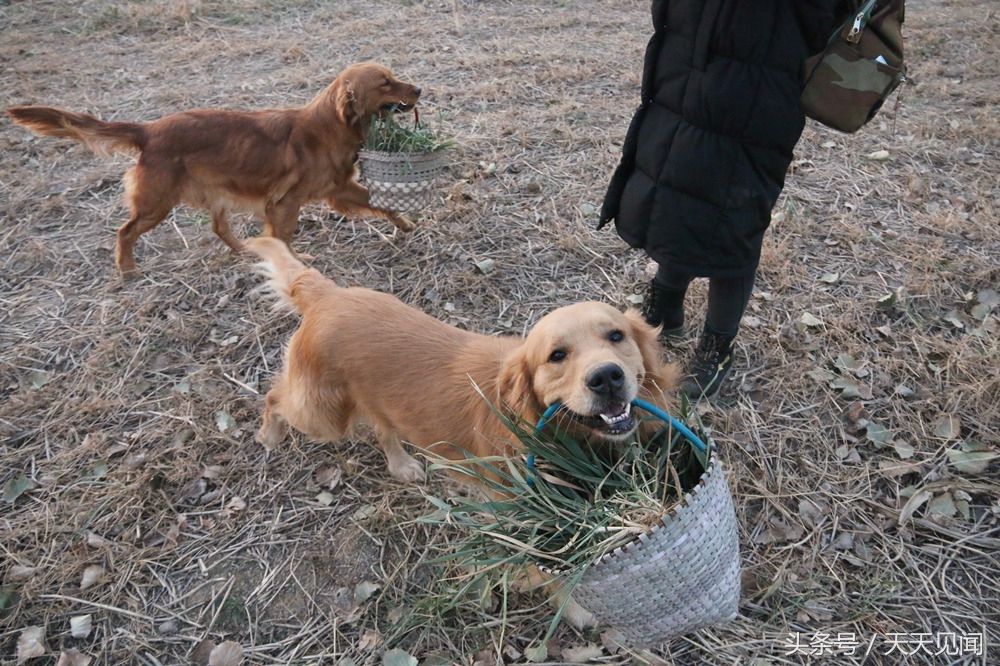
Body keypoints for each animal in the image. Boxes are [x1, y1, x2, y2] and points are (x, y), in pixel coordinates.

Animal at [5, 59, 418, 272]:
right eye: (385, 83)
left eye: (394, 75)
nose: (419, 89)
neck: (330, 127)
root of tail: (148, 129)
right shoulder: (284, 203)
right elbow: (284, 238)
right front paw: (294, 262)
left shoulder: (339, 188)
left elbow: (383, 203)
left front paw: (406, 224)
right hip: (156, 202)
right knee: (125, 231)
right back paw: (126, 269)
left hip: (213, 192)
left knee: (219, 228)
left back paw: (244, 251)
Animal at [247, 239, 680, 482]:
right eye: (556, 356)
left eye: (616, 336)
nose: (607, 378)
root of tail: (328, 295)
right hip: (323, 414)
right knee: (274, 398)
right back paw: (268, 435)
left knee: (384, 429)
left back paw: (401, 466)